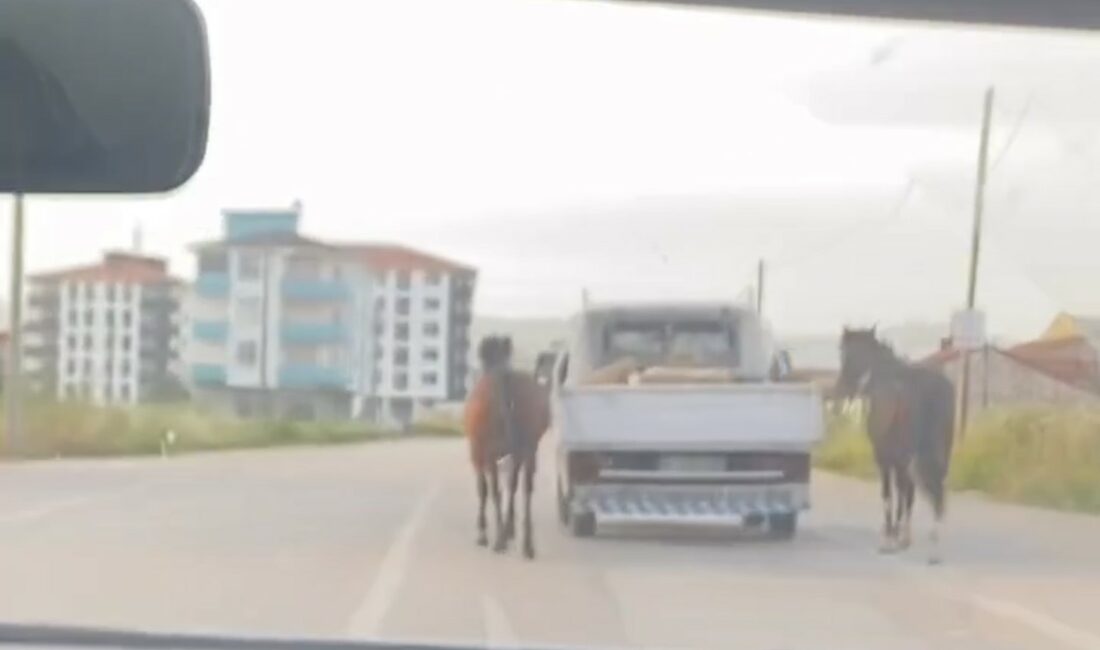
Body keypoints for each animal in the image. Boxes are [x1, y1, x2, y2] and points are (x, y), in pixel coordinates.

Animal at [464, 336, 550, 558]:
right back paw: (527, 543)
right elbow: (513, 484)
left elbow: (484, 489)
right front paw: (509, 528)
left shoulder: (478, 452)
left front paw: (483, 532)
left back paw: (499, 539)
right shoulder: (518, 452)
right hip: (528, 449)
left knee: (494, 489)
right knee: (525, 487)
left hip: (489, 452)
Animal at [840, 327, 954, 563]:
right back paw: (935, 547)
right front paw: (903, 537)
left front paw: (890, 538)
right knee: (938, 490)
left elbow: (890, 494)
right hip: (940, 452)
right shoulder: (903, 459)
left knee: (918, 490)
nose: (842, 388)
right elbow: (907, 493)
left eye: (845, 353)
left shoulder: (886, 457)